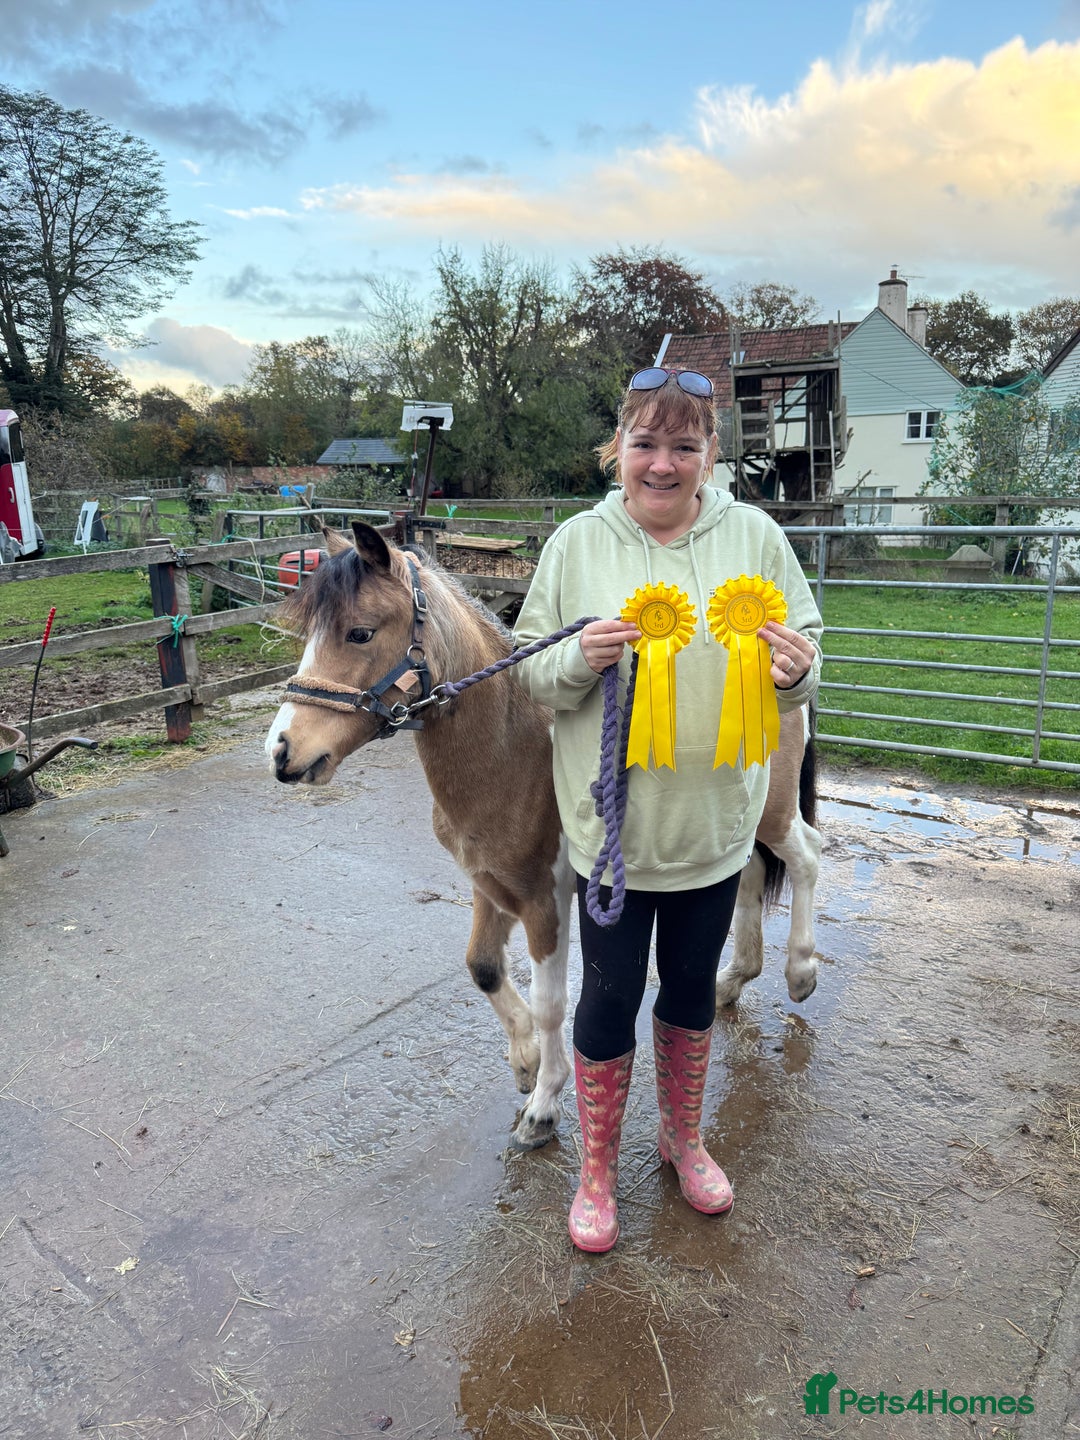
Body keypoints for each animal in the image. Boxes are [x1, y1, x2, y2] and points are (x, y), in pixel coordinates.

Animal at [265, 522, 821, 1150]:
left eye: (360, 632)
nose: (282, 751)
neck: (511, 753)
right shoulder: (488, 884)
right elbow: (482, 967)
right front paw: (525, 1059)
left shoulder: (543, 900)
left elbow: (553, 1002)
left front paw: (545, 1103)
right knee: (751, 873)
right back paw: (731, 981)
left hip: (774, 813)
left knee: (806, 856)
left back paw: (801, 972)